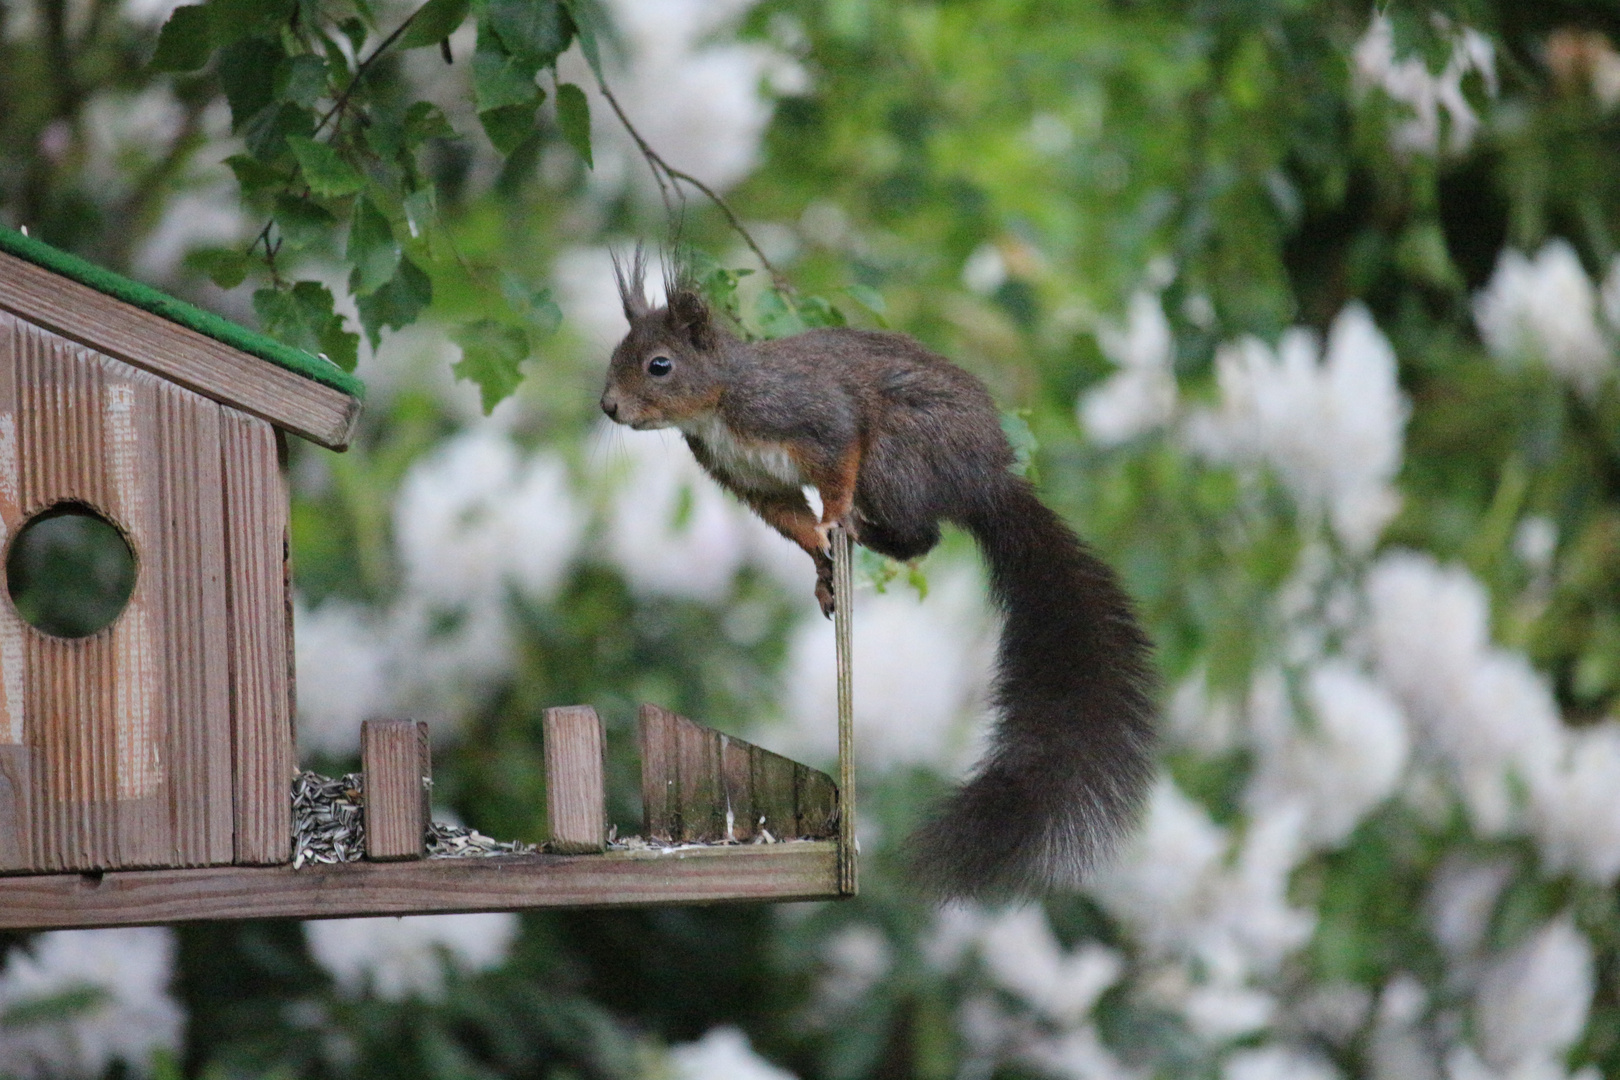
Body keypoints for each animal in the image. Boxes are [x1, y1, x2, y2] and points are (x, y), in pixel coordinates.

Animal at [602, 250, 1159, 893]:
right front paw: (820, 558)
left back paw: (863, 528)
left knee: (922, 535)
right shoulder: (748, 478)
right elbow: (790, 519)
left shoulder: (811, 416)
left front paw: (835, 517)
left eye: (659, 365)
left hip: (896, 453)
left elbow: (838, 458)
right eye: (618, 352)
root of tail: (984, 478)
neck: (717, 405)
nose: (608, 406)